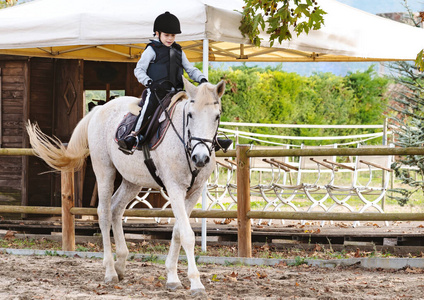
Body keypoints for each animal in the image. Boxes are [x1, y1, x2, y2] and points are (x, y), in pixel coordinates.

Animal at [26, 76, 225, 296]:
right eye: (190, 115)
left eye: (217, 116)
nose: (201, 158)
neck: (185, 143)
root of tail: (99, 110)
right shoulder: (174, 189)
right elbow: (187, 235)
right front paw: (196, 283)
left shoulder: (194, 192)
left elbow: (178, 232)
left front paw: (172, 278)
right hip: (104, 171)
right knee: (104, 213)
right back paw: (110, 271)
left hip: (132, 182)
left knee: (116, 209)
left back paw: (121, 263)